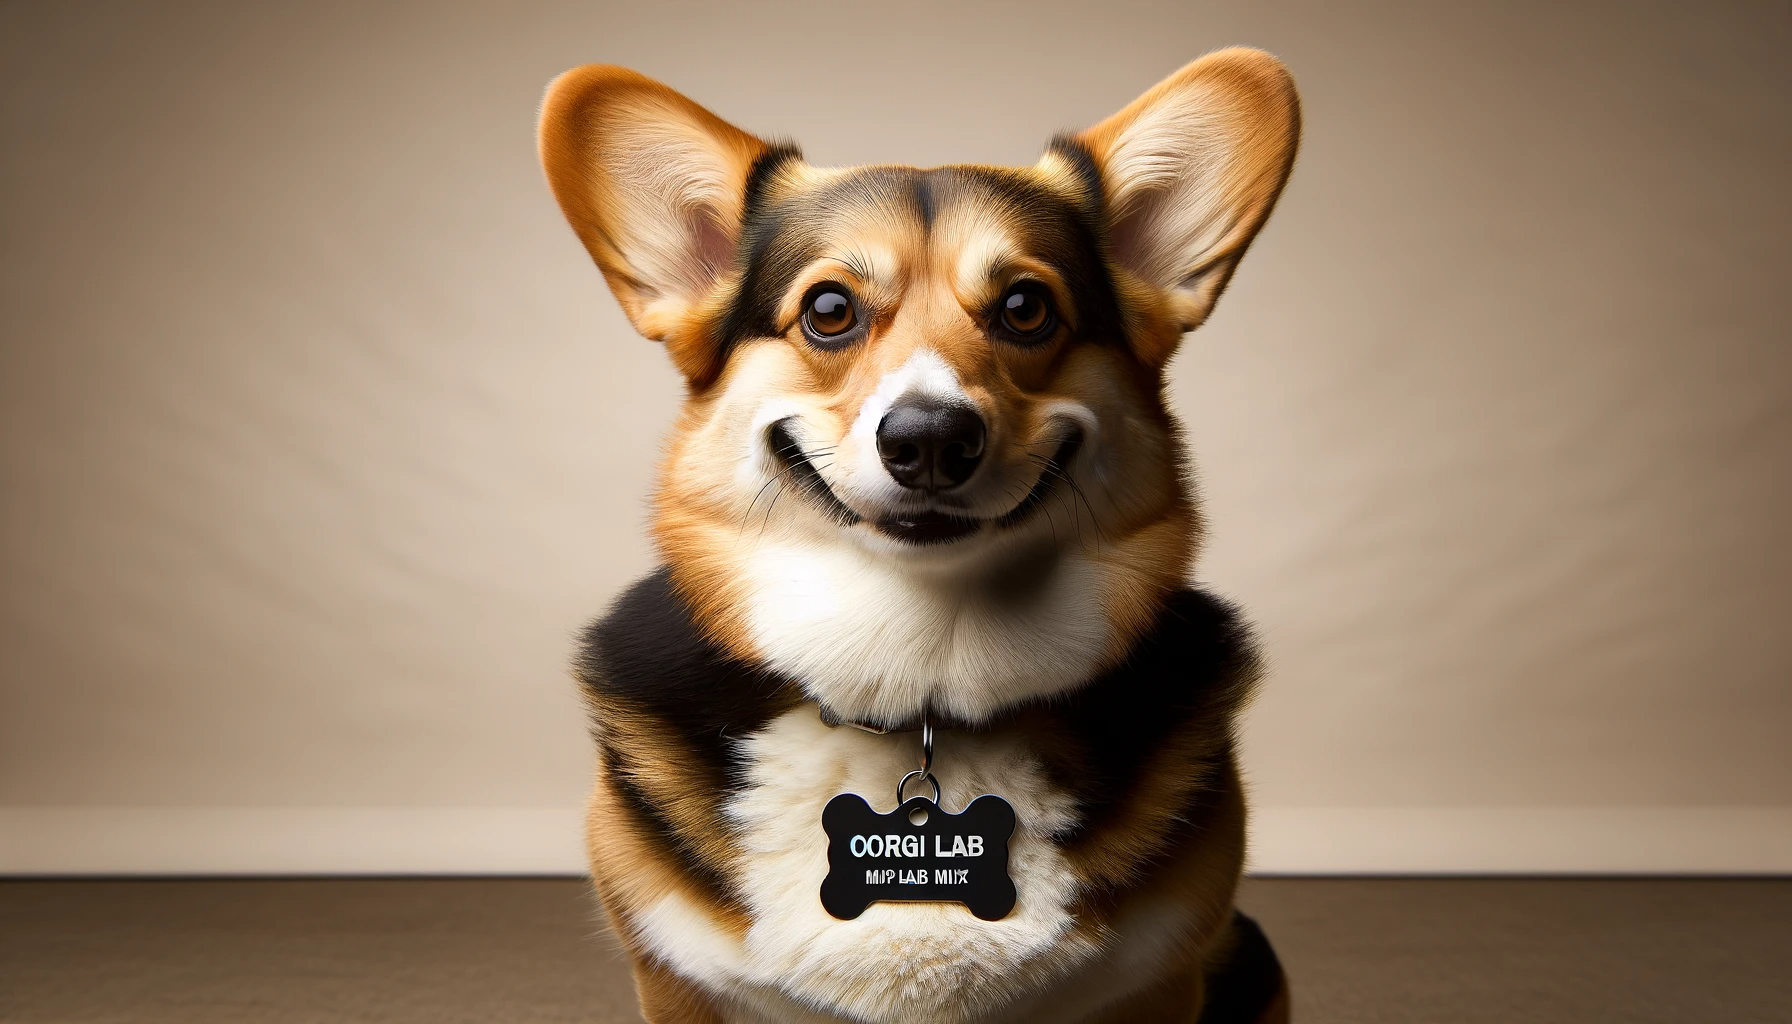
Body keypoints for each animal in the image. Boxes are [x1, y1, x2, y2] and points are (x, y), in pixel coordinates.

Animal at [534, 47, 1304, 1024]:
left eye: (1025, 307)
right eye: (829, 309)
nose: (931, 438)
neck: (923, 681)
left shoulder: (1158, 979)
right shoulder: (681, 984)